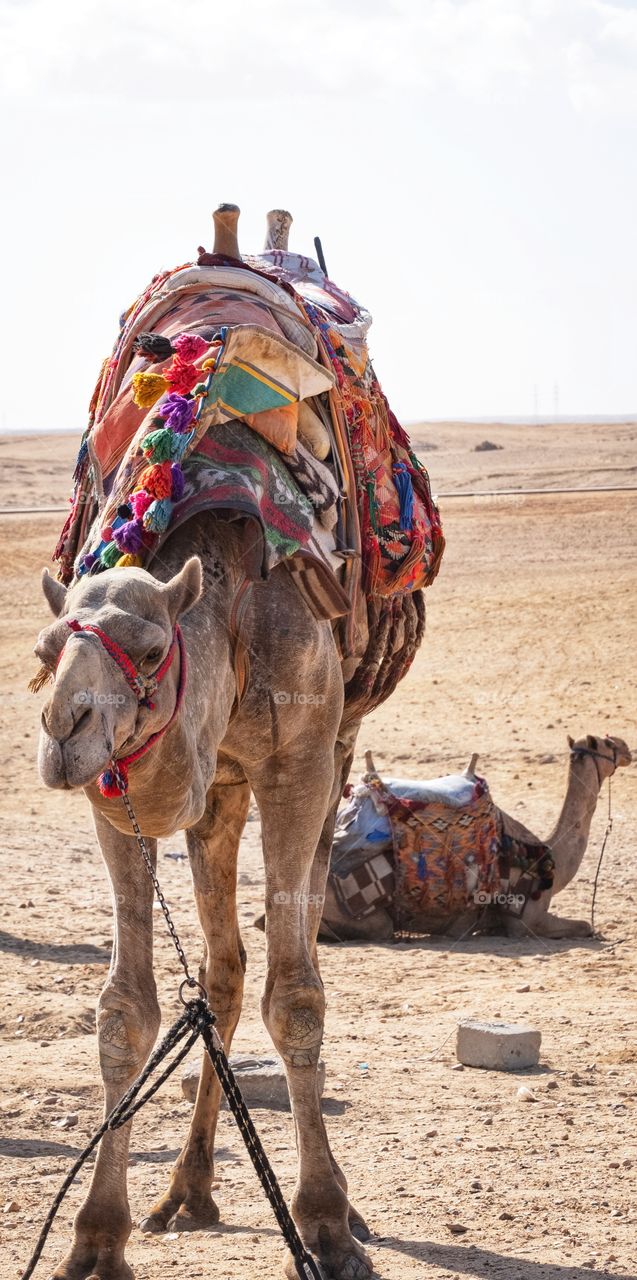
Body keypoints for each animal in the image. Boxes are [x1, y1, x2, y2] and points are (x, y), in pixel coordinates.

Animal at [32, 209, 434, 1280]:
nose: (63, 731)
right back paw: (190, 1188)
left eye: (146, 647)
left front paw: (326, 1225)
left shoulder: (296, 765)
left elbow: (299, 999)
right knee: (217, 968)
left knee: (266, 954)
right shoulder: (128, 793)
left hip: (329, 748)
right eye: (46, 651)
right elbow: (125, 1009)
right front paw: (96, 1235)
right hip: (215, 789)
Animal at [314, 735, 632, 944]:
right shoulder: (526, 921)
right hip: (366, 917)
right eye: (607, 743)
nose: (628, 748)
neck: (548, 855)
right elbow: (586, 925)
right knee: (375, 929)